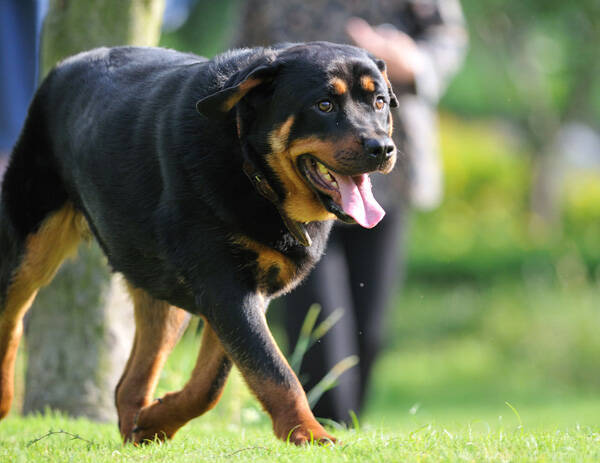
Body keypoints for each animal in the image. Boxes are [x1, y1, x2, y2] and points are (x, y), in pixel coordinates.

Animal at [0, 43, 396, 446]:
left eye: (379, 102)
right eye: (324, 105)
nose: (382, 148)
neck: (251, 169)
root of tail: (69, 63)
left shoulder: (244, 294)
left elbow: (212, 382)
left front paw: (157, 420)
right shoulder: (225, 287)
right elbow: (274, 370)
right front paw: (309, 433)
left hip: (162, 292)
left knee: (130, 382)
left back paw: (137, 433)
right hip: (30, 248)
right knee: (12, 318)